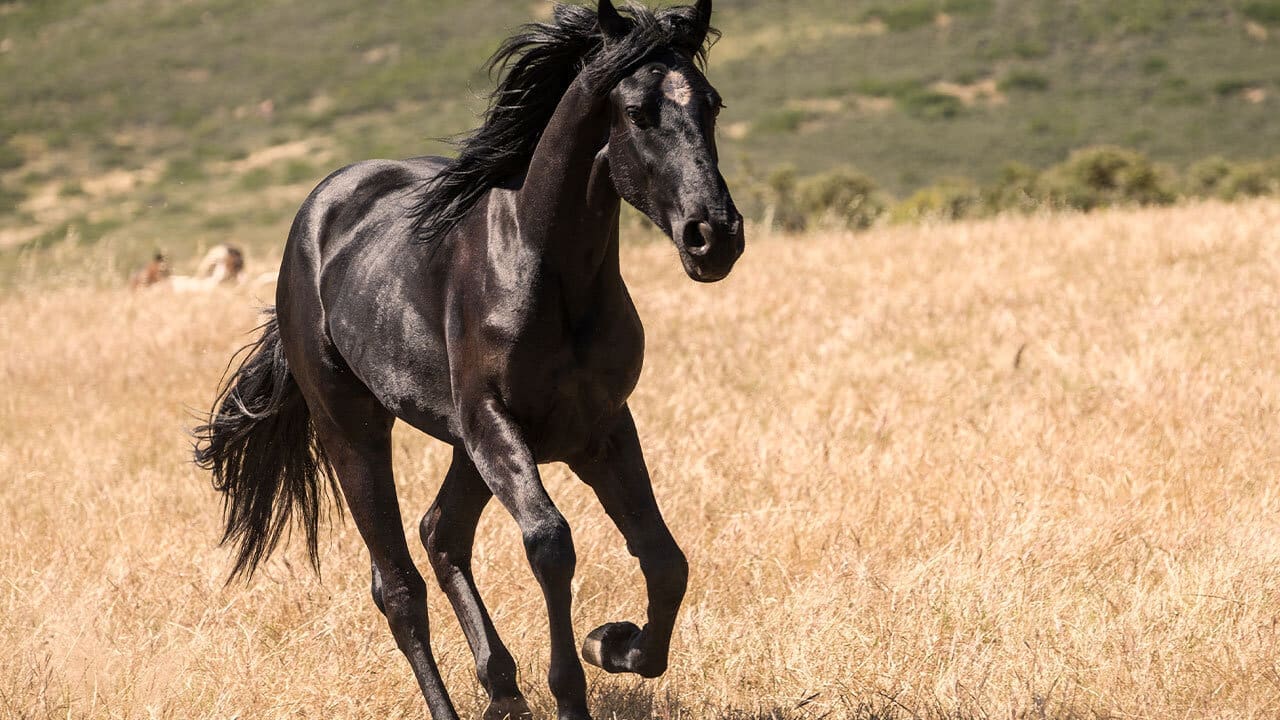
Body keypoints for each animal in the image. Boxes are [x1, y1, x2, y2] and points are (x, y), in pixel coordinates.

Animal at [194, 2, 742, 718]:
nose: (714, 237)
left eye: (711, 103)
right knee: (398, 585)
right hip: (355, 429)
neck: (545, 274)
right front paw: (574, 683)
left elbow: (663, 557)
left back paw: (503, 687)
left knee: (440, 532)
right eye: (635, 111)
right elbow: (550, 543)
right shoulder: (494, 422)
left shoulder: (600, 429)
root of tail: (314, 220)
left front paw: (614, 645)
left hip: (466, 445)